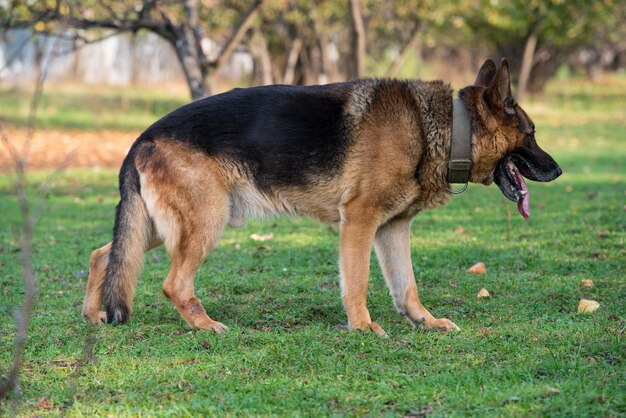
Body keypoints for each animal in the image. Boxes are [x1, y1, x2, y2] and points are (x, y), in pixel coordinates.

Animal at [80, 58, 560, 334]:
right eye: (533, 134)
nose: (558, 170)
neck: (441, 126)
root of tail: (141, 138)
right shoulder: (360, 222)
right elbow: (358, 283)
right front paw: (363, 328)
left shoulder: (393, 228)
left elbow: (406, 286)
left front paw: (424, 322)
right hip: (205, 221)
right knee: (173, 283)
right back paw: (206, 325)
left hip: (164, 224)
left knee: (105, 254)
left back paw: (94, 316)